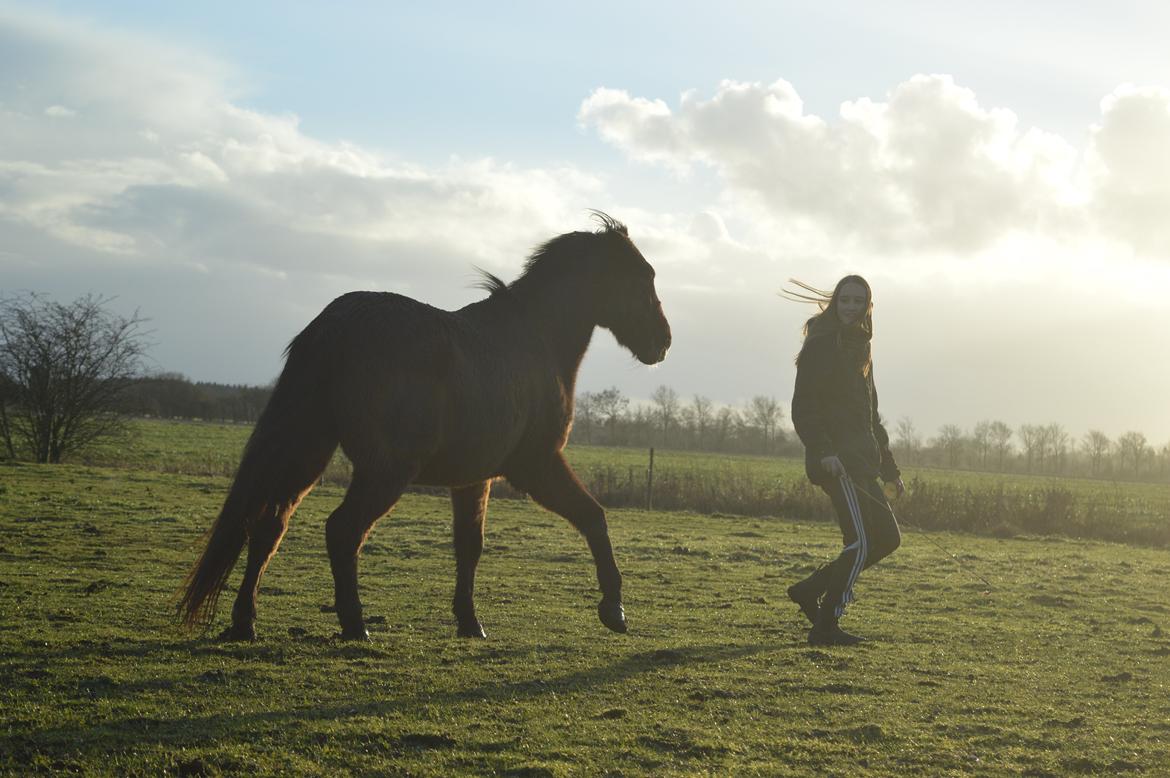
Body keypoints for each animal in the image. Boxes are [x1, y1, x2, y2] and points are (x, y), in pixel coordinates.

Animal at [174, 210, 673, 636]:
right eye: (642, 277)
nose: (663, 341)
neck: (536, 341)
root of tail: (332, 327)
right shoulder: (535, 464)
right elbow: (594, 517)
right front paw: (614, 610)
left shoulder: (474, 478)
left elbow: (470, 546)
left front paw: (470, 622)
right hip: (385, 471)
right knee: (342, 531)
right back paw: (355, 624)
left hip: (307, 452)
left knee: (267, 526)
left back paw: (245, 622)